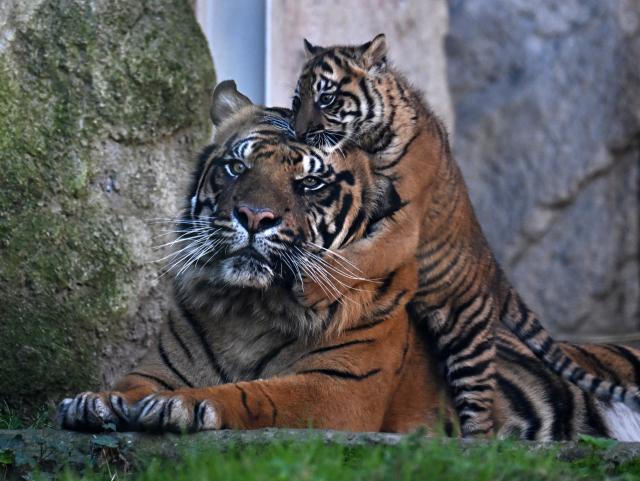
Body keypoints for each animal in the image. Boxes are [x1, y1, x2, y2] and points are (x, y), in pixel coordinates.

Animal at [57, 80, 640, 441]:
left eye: (310, 183)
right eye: (235, 167)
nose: (253, 217)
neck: (249, 311)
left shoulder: (338, 389)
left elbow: (259, 394)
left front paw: (190, 405)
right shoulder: (155, 367)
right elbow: (129, 385)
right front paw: (97, 401)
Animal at [291, 33, 640, 437]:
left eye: (326, 98)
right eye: (297, 101)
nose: (299, 133)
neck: (367, 141)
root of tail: (496, 272)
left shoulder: (404, 225)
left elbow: (363, 255)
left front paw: (314, 288)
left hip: (466, 336)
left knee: (482, 414)